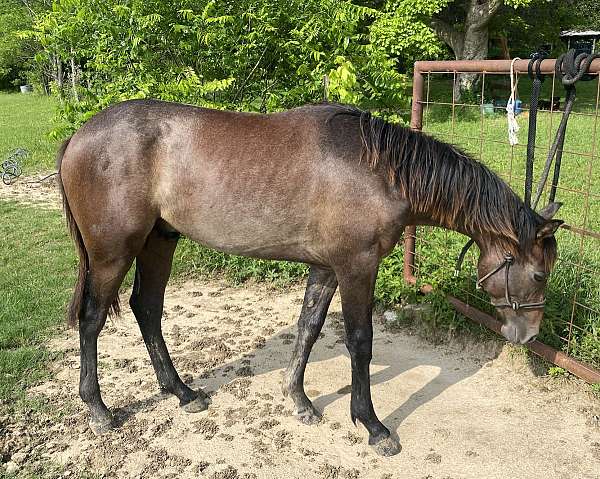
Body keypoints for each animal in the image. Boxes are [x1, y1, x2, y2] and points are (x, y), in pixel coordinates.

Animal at [56, 100, 564, 458]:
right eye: (539, 272)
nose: (527, 334)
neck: (378, 169)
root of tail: (80, 135)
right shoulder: (357, 267)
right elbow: (359, 341)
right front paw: (373, 427)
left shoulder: (325, 268)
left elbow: (309, 328)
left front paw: (298, 400)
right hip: (112, 254)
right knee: (93, 319)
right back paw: (98, 410)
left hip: (159, 241)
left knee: (147, 309)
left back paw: (181, 393)